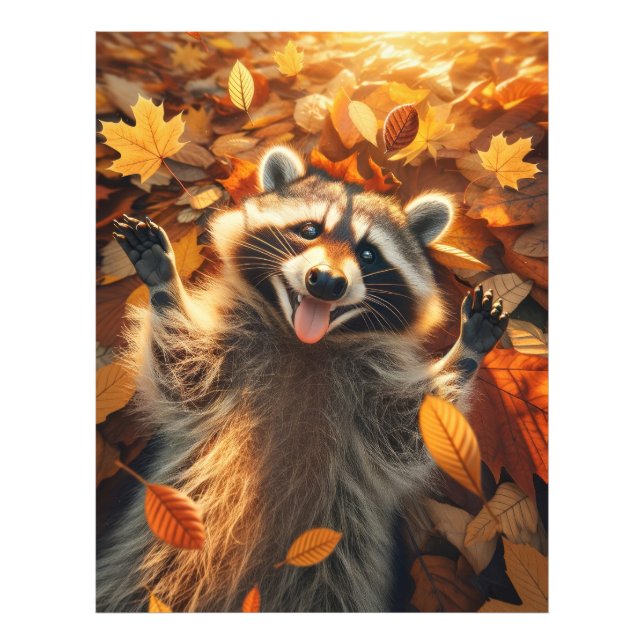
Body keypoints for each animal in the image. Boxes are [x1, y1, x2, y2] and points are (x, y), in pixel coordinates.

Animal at [98, 146, 508, 612]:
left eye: (369, 255)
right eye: (310, 230)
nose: (327, 281)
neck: (305, 346)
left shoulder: (370, 388)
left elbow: (407, 429)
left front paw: (465, 352)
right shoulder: (233, 347)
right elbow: (184, 371)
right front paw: (165, 285)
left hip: (333, 573)